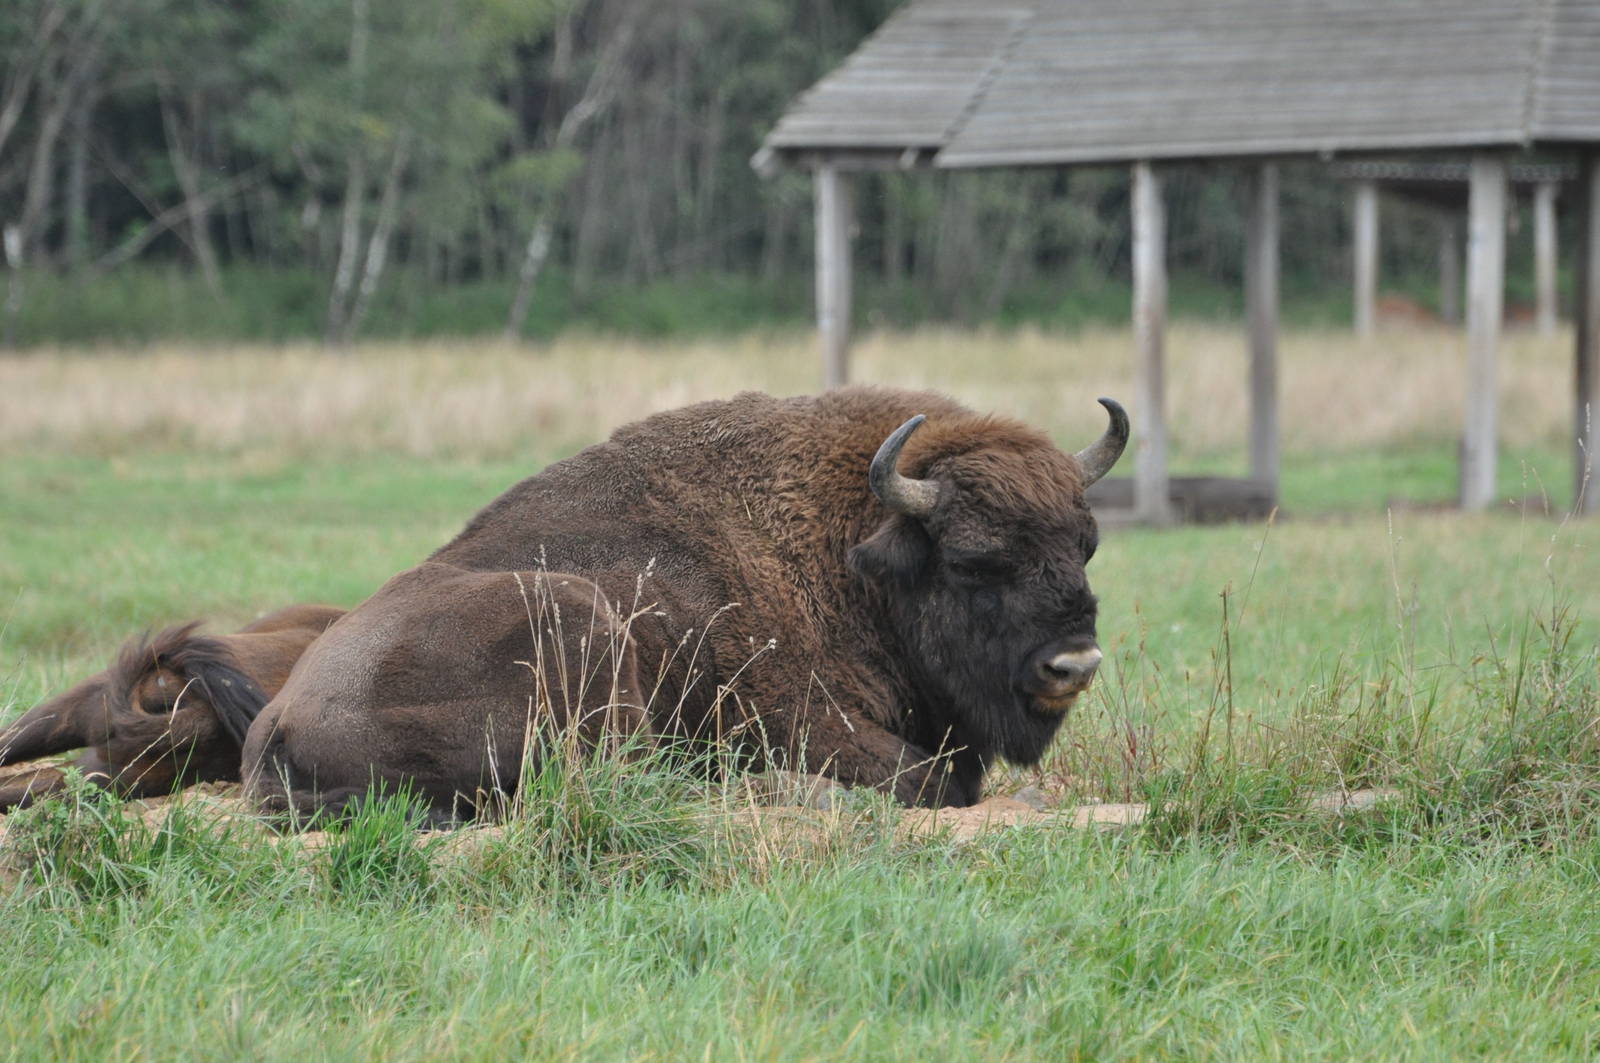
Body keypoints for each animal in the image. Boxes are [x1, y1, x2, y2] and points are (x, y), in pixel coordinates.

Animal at [242, 388, 1126, 818]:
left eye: (1085, 544)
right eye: (974, 560)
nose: (1074, 662)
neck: (846, 548)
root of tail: (276, 719)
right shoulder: (808, 724)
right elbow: (936, 779)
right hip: (581, 619)